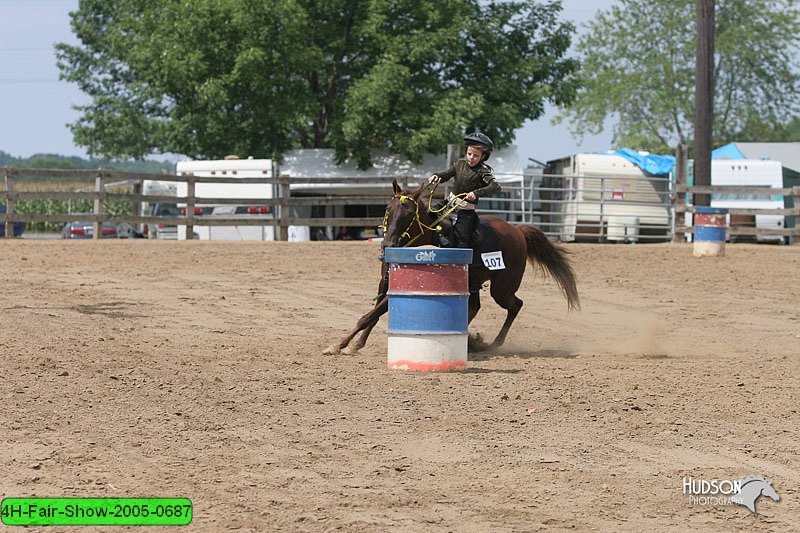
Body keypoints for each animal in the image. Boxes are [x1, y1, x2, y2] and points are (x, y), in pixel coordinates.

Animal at [322, 177, 580, 356]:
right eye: (388, 210)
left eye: (409, 214)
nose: (388, 244)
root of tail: (518, 231)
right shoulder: (385, 282)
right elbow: (373, 315)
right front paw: (355, 344)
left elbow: (368, 315)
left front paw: (338, 345)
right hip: (475, 282)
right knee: (474, 307)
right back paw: (469, 340)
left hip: (502, 288)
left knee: (515, 305)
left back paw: (493, 343)